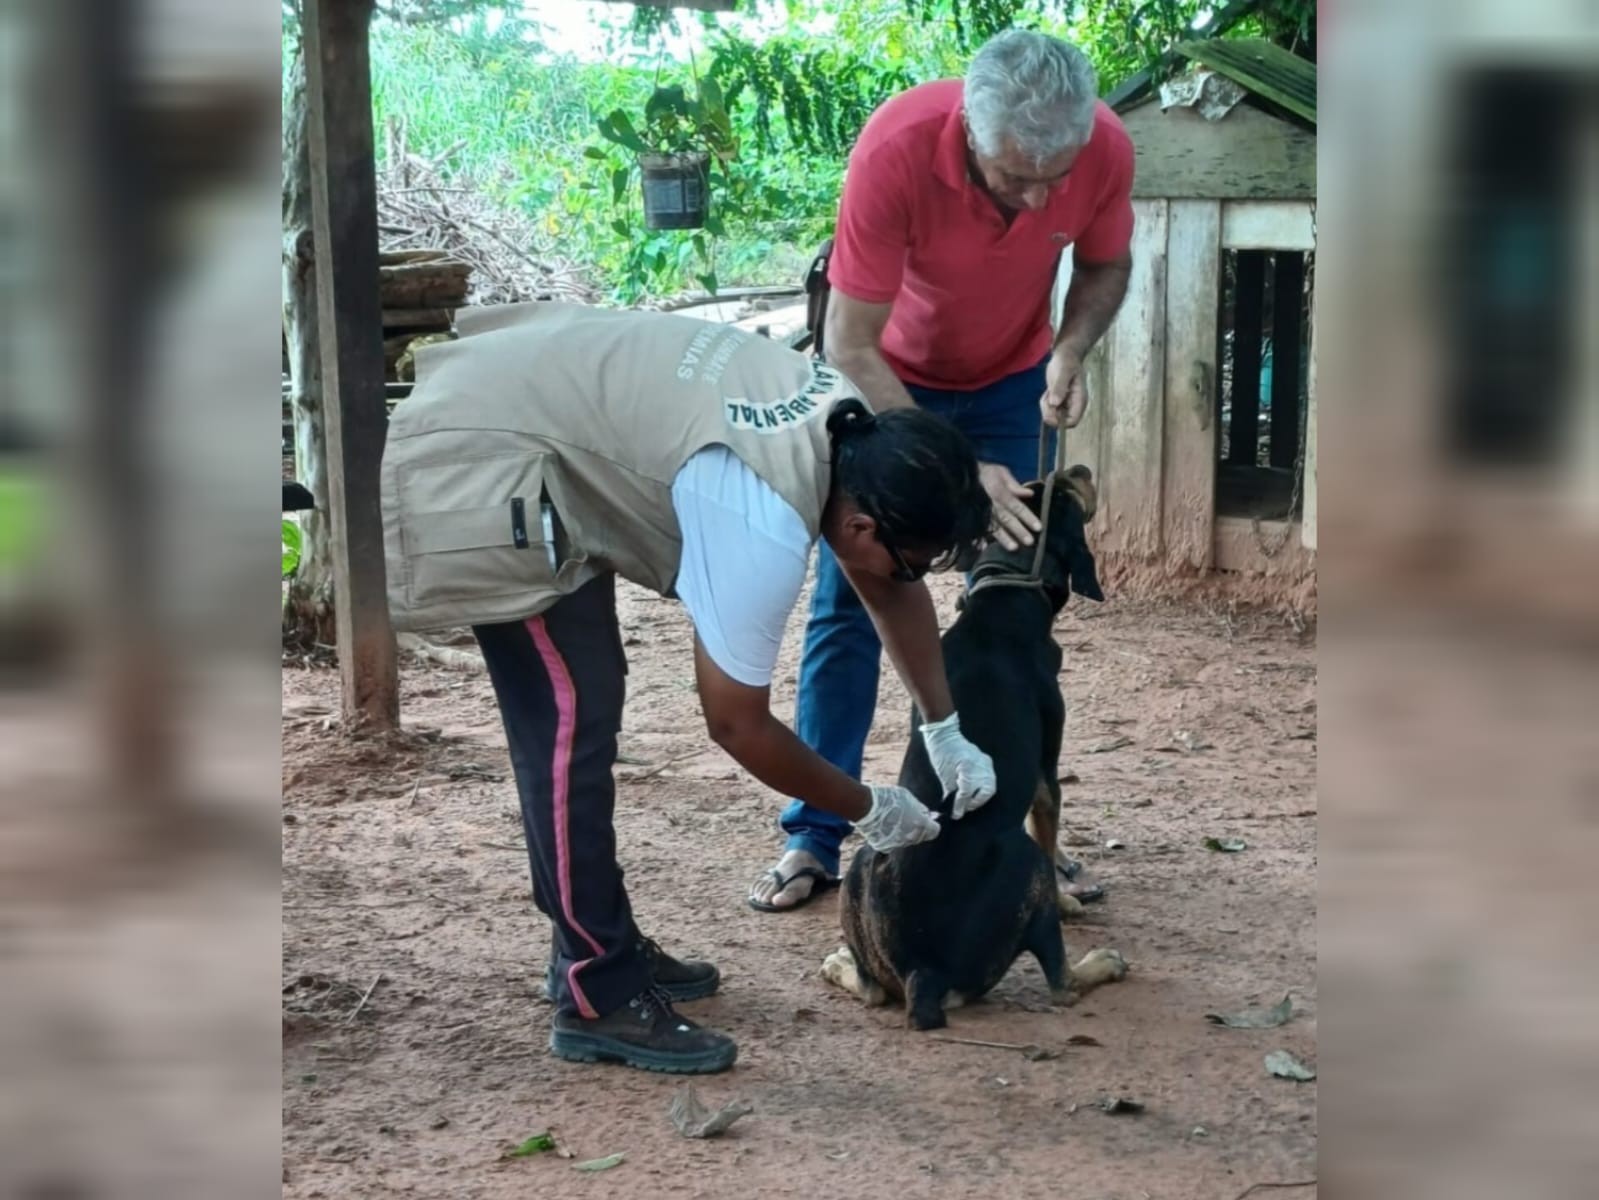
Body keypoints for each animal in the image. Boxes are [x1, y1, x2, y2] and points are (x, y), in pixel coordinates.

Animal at [825, 470, 1125, 1036]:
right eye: (1066, 495)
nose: (1076, 469)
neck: (1004, 593)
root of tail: (923, 972)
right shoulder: (1046, 777)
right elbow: (1050, 840)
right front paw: (1069, 902)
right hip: (1021, 864)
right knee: (1062, 986)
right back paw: (1101, 963)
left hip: (862, 863)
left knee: (873, 991)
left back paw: (837, 964)